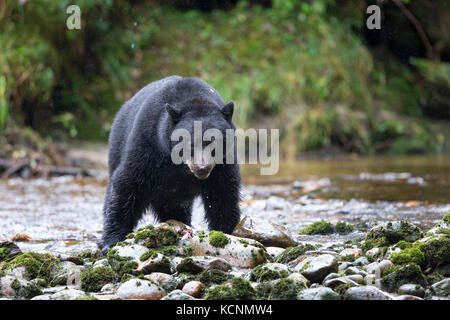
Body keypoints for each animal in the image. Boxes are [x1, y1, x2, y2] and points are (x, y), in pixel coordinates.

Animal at [100, 76, 241, 254]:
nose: (202, 168)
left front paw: (226, 231)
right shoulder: (148, 145)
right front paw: (111, 241)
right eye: (190, 143)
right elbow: (127, 184)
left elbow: (223, 195)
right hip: (117, 147)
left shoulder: (222, 165)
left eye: (213, 141)